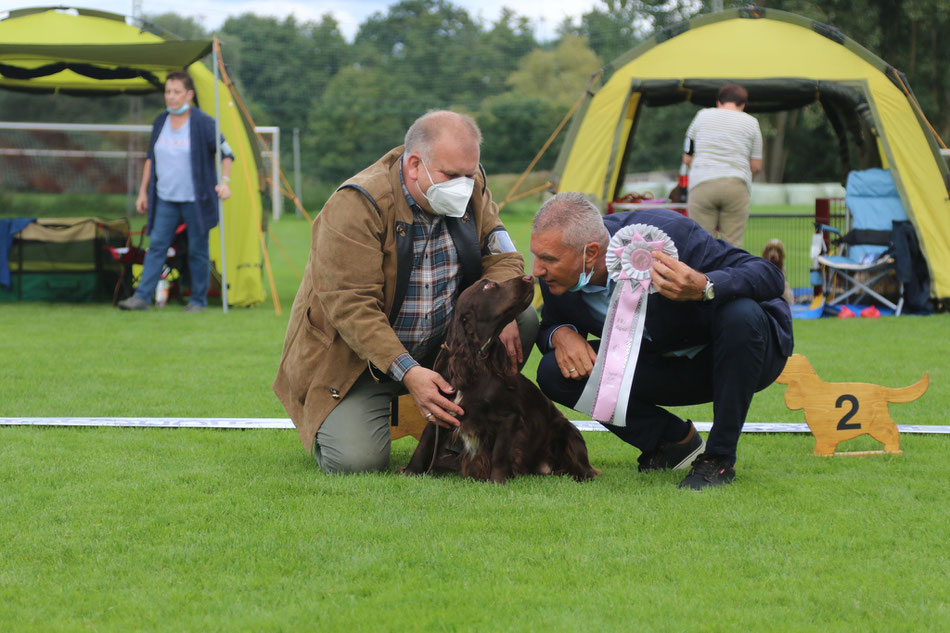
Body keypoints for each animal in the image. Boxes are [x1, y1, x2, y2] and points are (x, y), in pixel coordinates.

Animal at [404, 274, 600, 482]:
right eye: (488, 286)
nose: (529, 277)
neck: (476, 361)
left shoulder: (509, 417)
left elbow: (500, 452)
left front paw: (497, 480)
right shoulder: (440, 409)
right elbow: (425, 443)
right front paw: (410, 472)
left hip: (567, 431)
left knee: (584, 467)